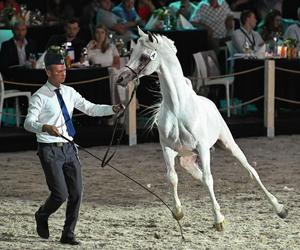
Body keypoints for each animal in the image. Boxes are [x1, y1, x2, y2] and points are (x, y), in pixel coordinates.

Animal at [115, 28, 288, 229]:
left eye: (144, 56)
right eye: (131, 53)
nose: (120, 78)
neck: (177, 108)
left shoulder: (203, 148)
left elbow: (208, 179)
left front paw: (218, 220)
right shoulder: (167, 148)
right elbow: (173, 177)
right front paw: (178, 212)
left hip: (227, 144)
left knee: (250, 172)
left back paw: (279, 208)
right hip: (186, 158)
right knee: (199, 175)